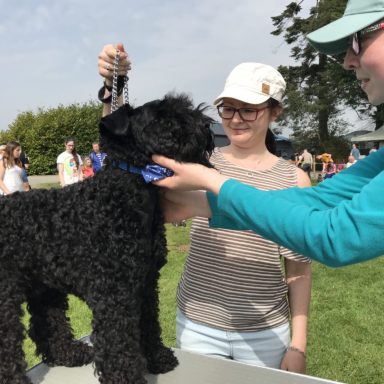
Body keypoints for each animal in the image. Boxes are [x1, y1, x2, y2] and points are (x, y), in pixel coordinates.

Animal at [0, 94, 214, 384]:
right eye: (161, 118)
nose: (206, 125)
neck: (124, 197)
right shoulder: (115, 295)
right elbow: (119, 344)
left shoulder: (146, 283)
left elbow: (150, 323)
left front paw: (158, 358)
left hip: (45, 286)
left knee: (47, 323)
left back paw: (70, 353)